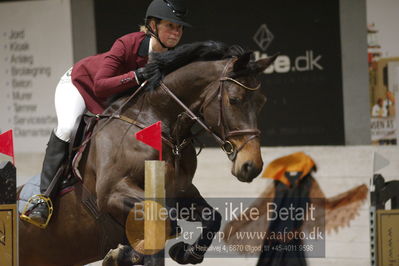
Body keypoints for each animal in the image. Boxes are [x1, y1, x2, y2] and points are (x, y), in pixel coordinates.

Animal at [17, 42, 276, 266]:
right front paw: (121, 255)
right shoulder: (111, 193)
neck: (153, 122)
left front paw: (185, 253)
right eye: (234, 100)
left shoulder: (181, 191)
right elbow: (165, 220)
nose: (251, 165)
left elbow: (212, 218)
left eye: (263, 102)